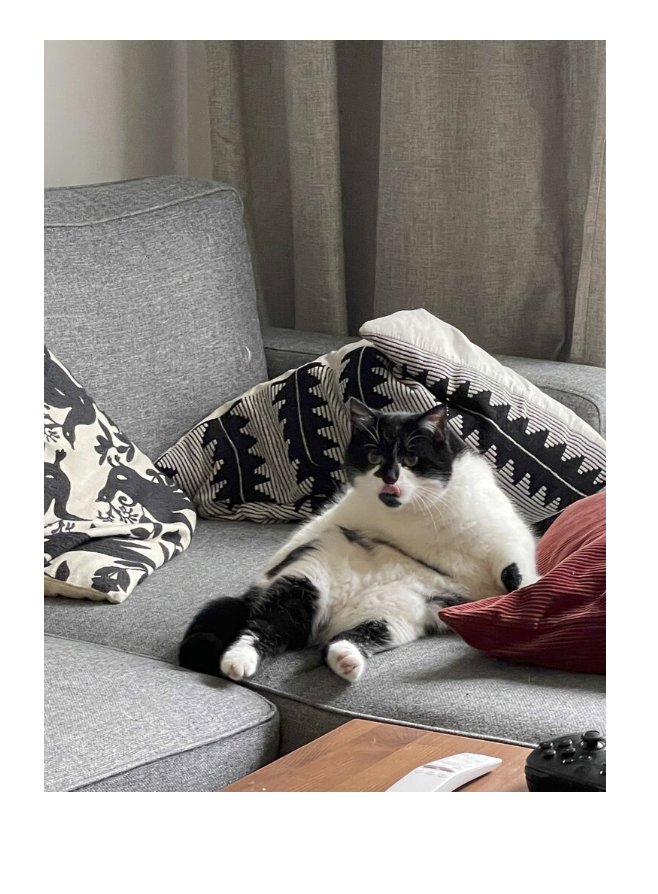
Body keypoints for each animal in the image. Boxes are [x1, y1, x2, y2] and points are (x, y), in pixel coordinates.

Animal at [178, 399, 539, 683]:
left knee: (339, 641)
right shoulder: (342, 517)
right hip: (304, 582)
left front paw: (524, 597)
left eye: (410, 459)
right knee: (261, 627)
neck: (422, 517)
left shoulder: (505, 538)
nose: (389, 478)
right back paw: (237, 661)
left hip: (395, 615)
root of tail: (338, 612)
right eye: (374, 457)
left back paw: (346, 660)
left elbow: (516, 572)